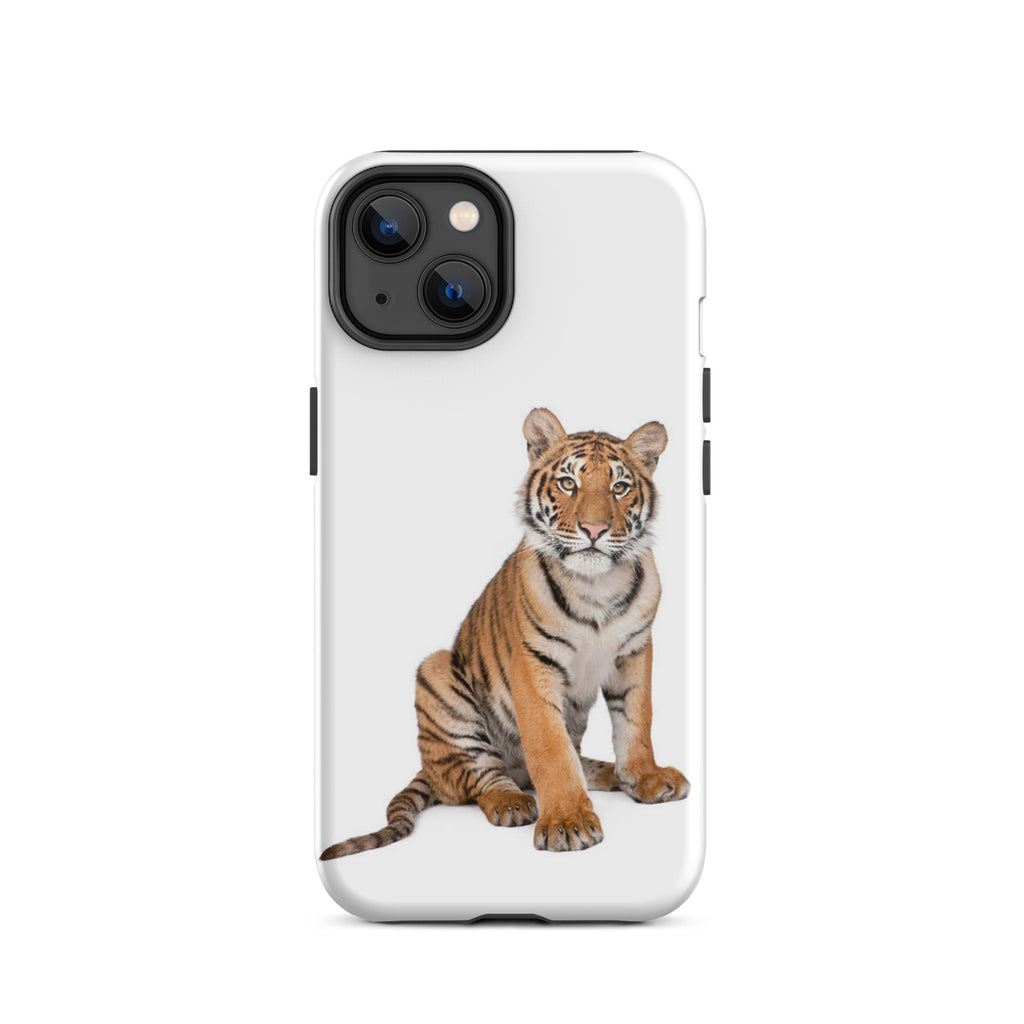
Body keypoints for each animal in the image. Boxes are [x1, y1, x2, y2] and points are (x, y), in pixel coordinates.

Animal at [320, 407, 689, 858]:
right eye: (569, 483)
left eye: (619, 487)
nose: (594, 529)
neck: (596, 586)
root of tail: (427, 768)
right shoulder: (533, 663)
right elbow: (549, 748)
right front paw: (568, 822)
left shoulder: (634, 652)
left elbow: (636, 722)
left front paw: (645, 778)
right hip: (437, 675)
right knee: (478, 778)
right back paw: (512, 802)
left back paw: (607, 773)